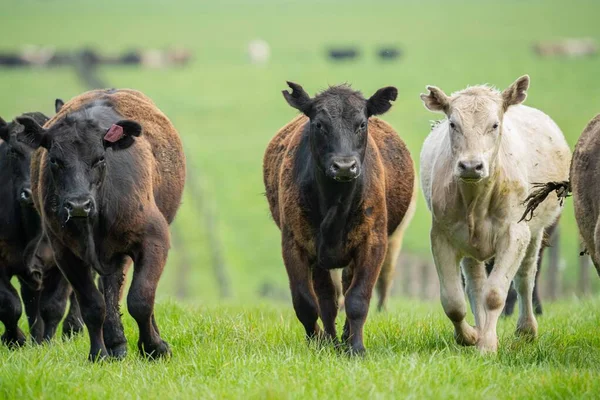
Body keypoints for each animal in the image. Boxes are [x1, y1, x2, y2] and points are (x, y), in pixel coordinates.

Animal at [17, 89, 185, 360]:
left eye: (99, 159)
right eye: (54, 160)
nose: (78, 205)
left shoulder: (154, 238)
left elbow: (141, 298)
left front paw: (154, 348)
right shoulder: (66, 254)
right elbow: (93, 305)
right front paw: (98, 354)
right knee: (109, 290)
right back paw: (116, 343)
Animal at [264, 82, 414, 356]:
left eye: (362, 124)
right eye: (319, 124)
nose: (344, 166)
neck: (336, 203)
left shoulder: (373, 242)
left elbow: (357, 298)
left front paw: (356, 348)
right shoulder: (294, 244)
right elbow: (305, 302)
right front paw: (316, 344)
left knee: (344, 288)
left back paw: (344, 339)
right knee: (327, 298)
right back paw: (331, 341)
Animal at [420, 76, 568, 354]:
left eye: (495, 124)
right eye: (453, 124)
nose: (471, 166)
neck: (476, 201)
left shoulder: (514, 235)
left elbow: (495, 294)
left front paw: (487, 347)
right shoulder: (441, 236)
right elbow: (454, 301)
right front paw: (470, 337)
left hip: (535, 232)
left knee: (525, 278)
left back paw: (526, 329)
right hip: (470, 245)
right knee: (475, 286)